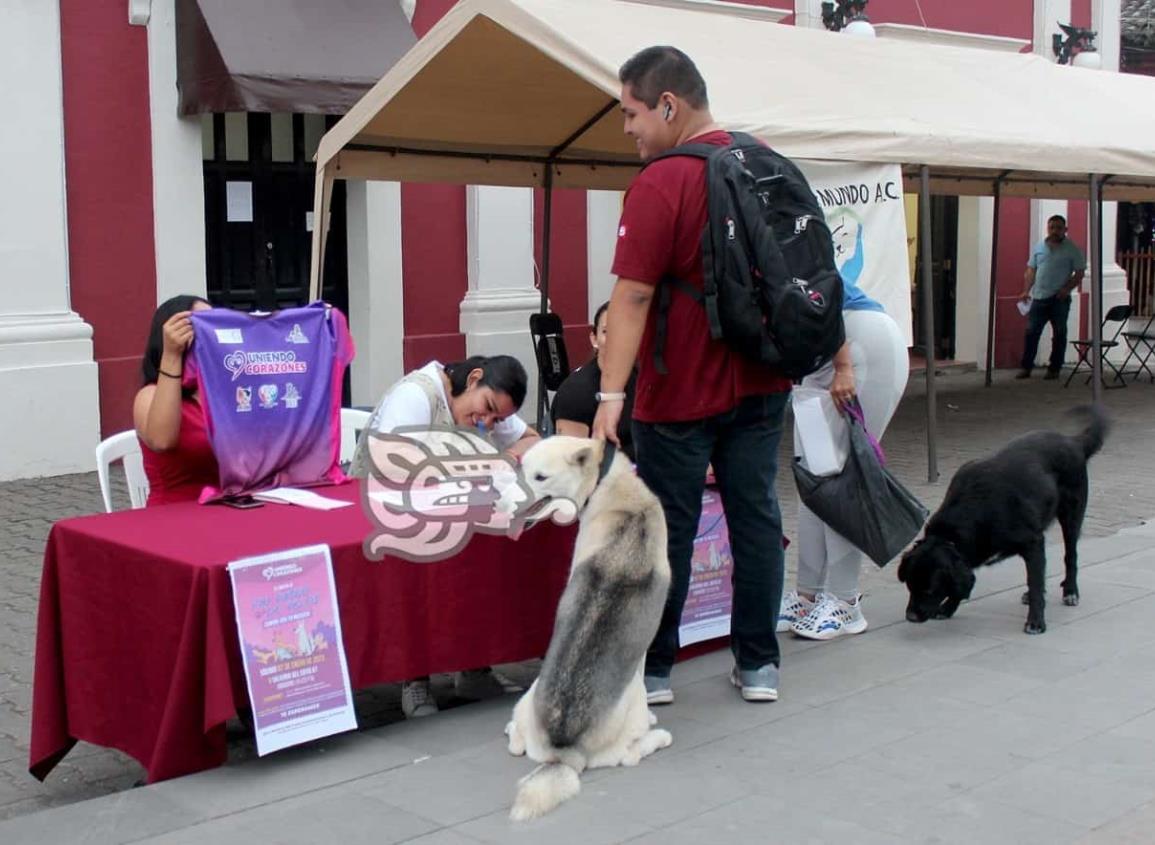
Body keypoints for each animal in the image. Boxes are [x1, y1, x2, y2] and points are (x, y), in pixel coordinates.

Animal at [501, 438, 674, 821]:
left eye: (540, 476)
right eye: (520, 467)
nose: (500, 503)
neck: (605, 482)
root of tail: (564, 750)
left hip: (529, 695)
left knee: (518, 743)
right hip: (634, 700)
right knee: (630, 755)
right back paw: (659, 736)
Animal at [896, 408, 1104, 632]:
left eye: (930, 590)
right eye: (909, 586)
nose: (910, 617)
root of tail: (1073, 441)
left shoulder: (1032, 542)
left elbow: (1035, 582)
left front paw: (1036, 620)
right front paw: (949, 607)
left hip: (1072, 516)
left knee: (1070, 556)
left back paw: (1070, 591)